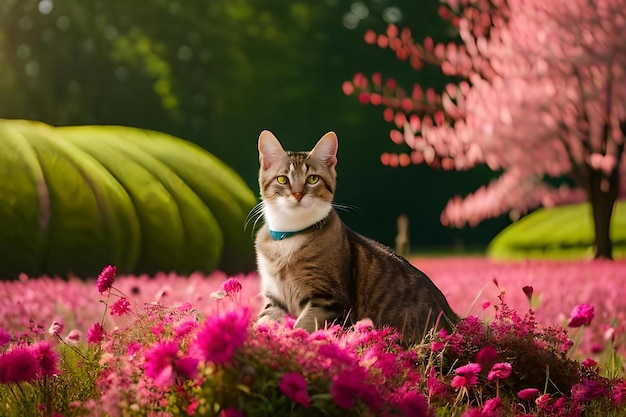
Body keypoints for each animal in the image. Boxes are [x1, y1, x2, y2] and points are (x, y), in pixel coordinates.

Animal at [251, 130, 456, 344]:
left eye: (313, 179)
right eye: (282, 180)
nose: (298, 194)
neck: (288, 237)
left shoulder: (330, 300)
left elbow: (303, 327)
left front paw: (292, 341)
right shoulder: (275, 300)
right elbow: (261, 322)